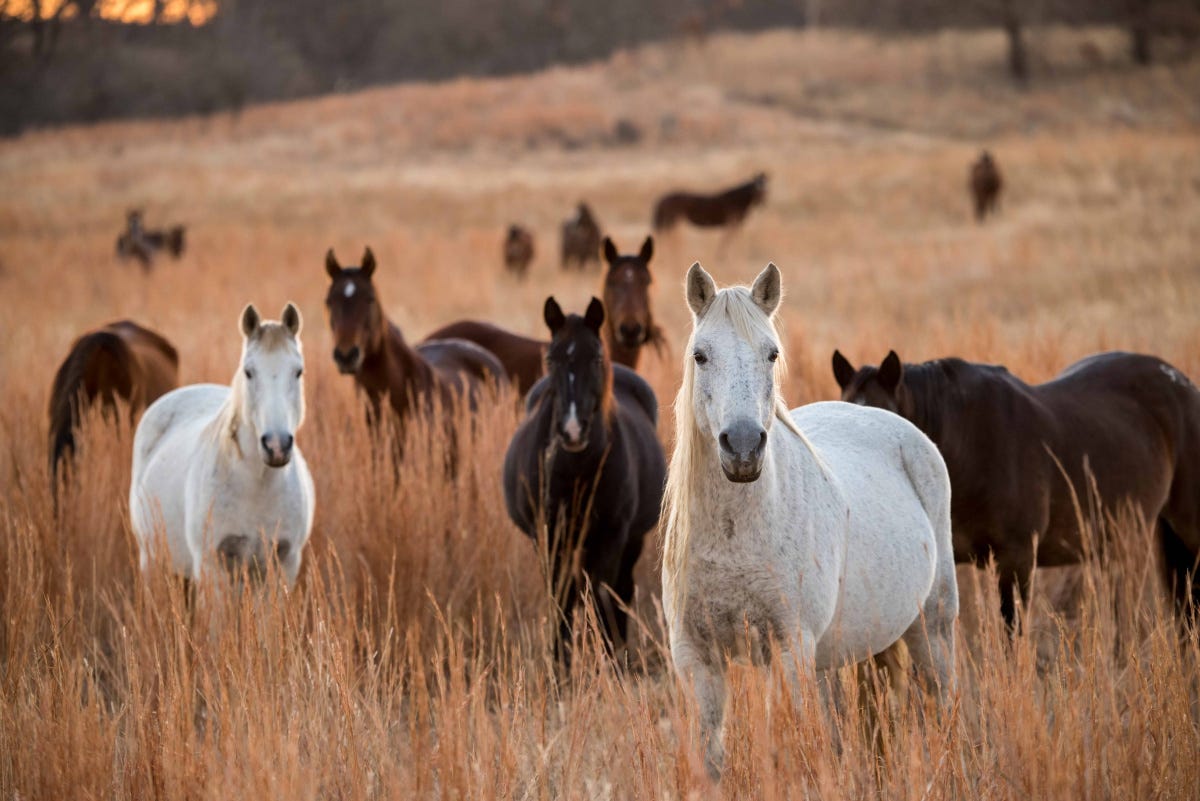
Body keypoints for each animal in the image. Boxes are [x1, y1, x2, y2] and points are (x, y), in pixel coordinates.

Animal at [129, 304, 314, 586]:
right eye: (248, 372)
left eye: (298, 372)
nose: (276, 445)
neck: (257, 485)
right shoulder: (212, 567)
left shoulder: (284, 563)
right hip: (151, 561)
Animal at [503, 296, 666, 661]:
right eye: (551, 359)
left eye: (596, 358)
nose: (573, 430)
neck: (575, 470)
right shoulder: (548, 535)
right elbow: (561, 597)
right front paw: (560, 664)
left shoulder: (611, 536)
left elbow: (602, 597)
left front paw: (608, 659)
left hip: (629, 540)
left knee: (619, 590)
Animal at [663, 264, 957, 779]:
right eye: (700, 355)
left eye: (772, 353)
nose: (743, 447)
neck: (733, 536)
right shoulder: (697, 659)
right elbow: (711, 756)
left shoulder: (788, 650)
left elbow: (786, 746)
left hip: (932, 627)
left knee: (942, 701)